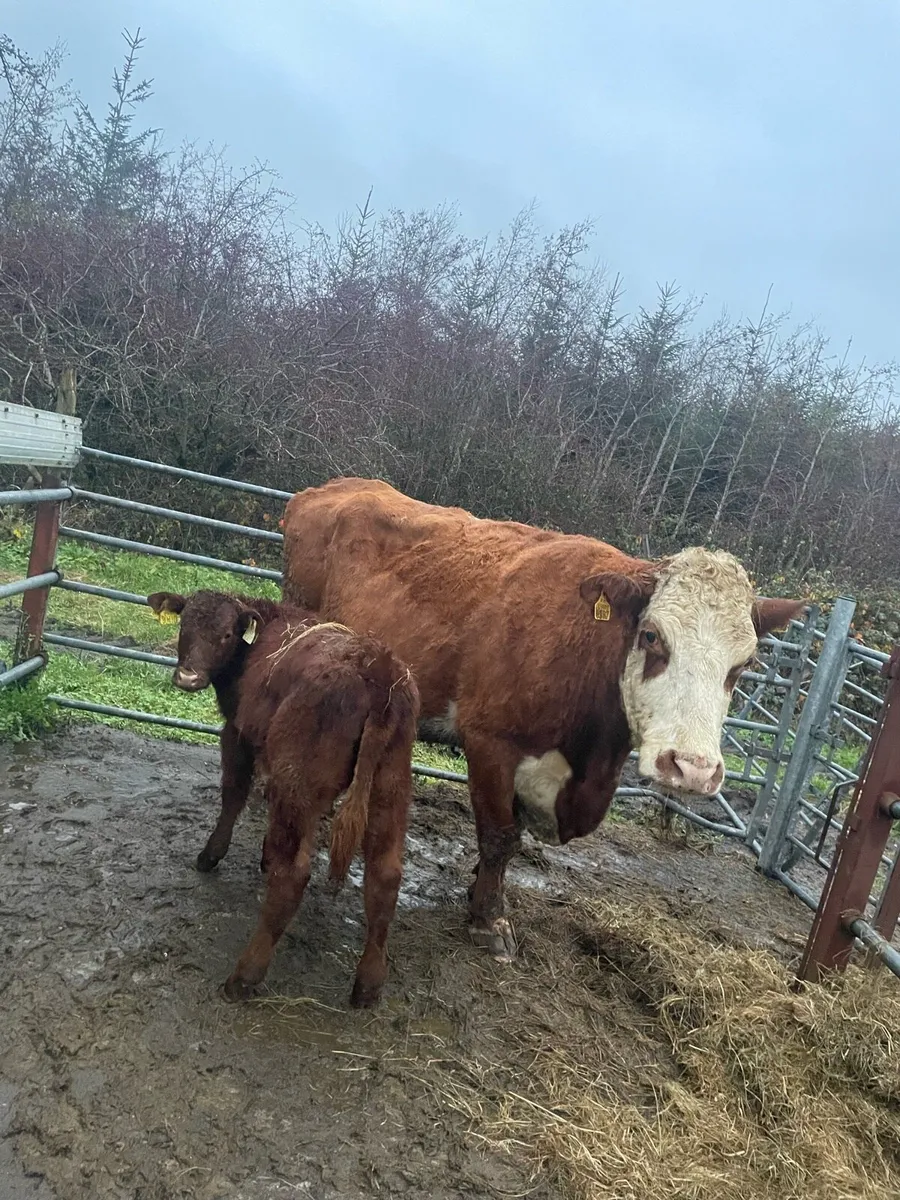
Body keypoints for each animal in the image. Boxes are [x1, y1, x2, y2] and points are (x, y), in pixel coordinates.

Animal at [147, 588, 420, 1008]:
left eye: (227, 634)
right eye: (184, 624)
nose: (188, 677)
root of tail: (378, 670)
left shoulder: (238, 734)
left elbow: (234, 794)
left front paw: (212, 854)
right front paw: (263, 855)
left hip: (301, 780)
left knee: (293, 875)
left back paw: (243, 977)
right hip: (390, 789)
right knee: (385, 875)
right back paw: (368, 984)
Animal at [279, 476, 806, 962]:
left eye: (745, 664)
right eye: (653, 636)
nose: (693, 769)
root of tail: (335, 487)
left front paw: (478, 893)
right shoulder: (491, 741)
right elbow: (501, 835)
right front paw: (489, 918)